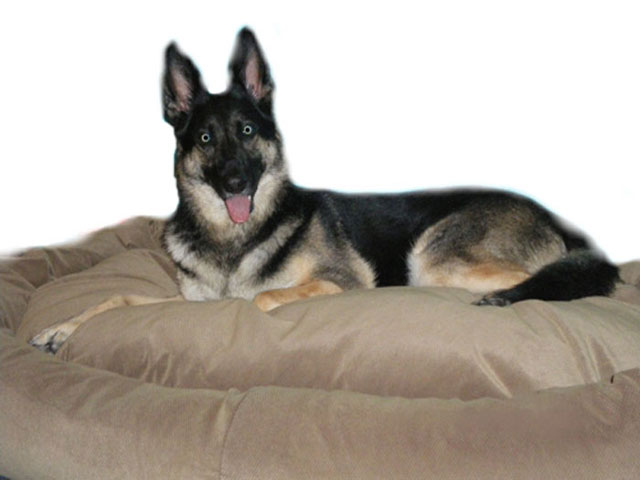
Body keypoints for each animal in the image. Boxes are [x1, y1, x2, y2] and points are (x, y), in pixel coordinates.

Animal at [31, 28, 620, 354]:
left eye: (248, 131)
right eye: (205, 138)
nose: (236, 182)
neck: (233, 239)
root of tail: (557, 221)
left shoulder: (336, 280)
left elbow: (260, 298)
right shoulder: (185, 298)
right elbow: (119, 296)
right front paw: (61, 328)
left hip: (434, 259)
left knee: (549, 279)